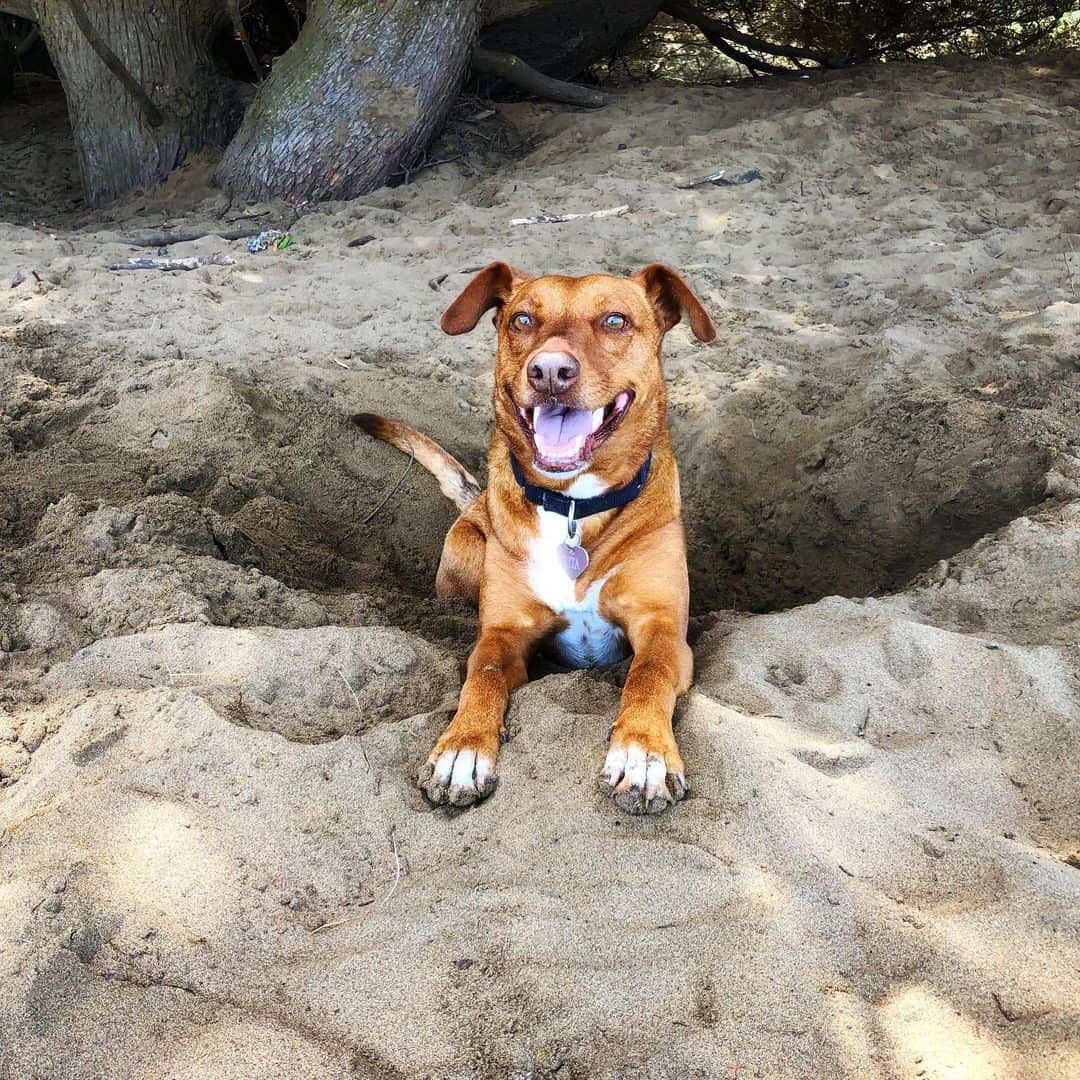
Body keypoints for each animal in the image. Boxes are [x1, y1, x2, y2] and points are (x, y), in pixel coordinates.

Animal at [354, 265, 721, 812]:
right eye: (523, 319)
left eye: (616, 319)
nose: (548, 372)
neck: (572, 506)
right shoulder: (506, 633)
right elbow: (482, 674)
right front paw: (462, 750)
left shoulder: (663, 629)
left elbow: (648, 674)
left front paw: (643, 755)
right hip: (467, 552)